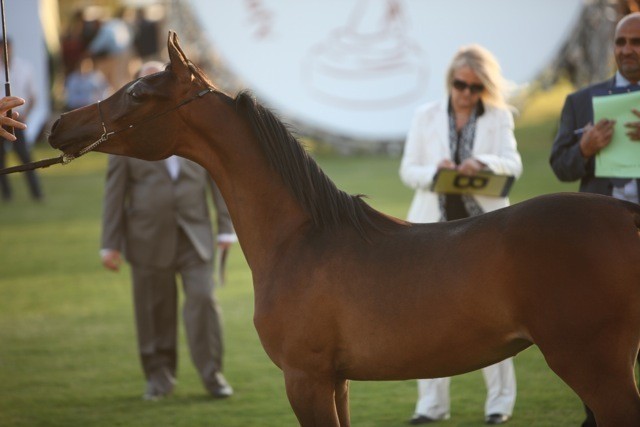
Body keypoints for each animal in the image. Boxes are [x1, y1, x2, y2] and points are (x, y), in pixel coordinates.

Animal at [48, 32, 640, 426]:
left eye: (137, 93)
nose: (58, 124)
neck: (299, 240)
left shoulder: (305, 380)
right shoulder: (337, 381)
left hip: (595, 369)